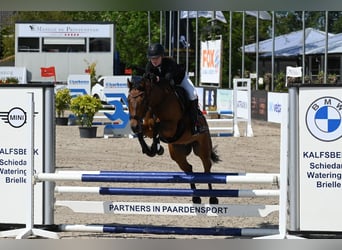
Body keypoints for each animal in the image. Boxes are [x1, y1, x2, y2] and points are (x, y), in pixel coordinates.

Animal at [127, 75, 220, 204]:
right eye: (127, 100)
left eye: (143, 100)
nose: (133, 126)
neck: (159, 102)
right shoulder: (147, 128)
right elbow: (145, 132)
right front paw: (150, 149)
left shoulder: (171, 127)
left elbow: (156, 127)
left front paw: (155, 148)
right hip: (177, 153)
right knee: (189, 168)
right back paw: (196, 197)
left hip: (202, 148)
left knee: (207, 168)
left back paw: (213, 198)